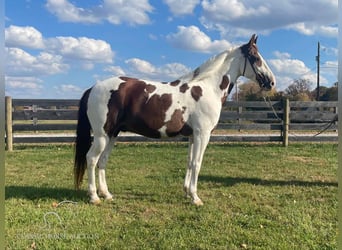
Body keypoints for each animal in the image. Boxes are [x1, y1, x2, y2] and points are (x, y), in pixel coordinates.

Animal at [75, 34, 276, 206]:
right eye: (255, 57)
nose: (271, 82)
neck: (207, 88)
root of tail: (93, 88)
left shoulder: (192, 136)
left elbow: (189, 162)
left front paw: (187, 191)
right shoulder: (202, 135)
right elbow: (197, 163)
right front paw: (195, 197)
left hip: (112, 134)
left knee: (102, 161)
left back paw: (106, 194)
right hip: (102, 136)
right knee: (91, 159)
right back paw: (94, 197)